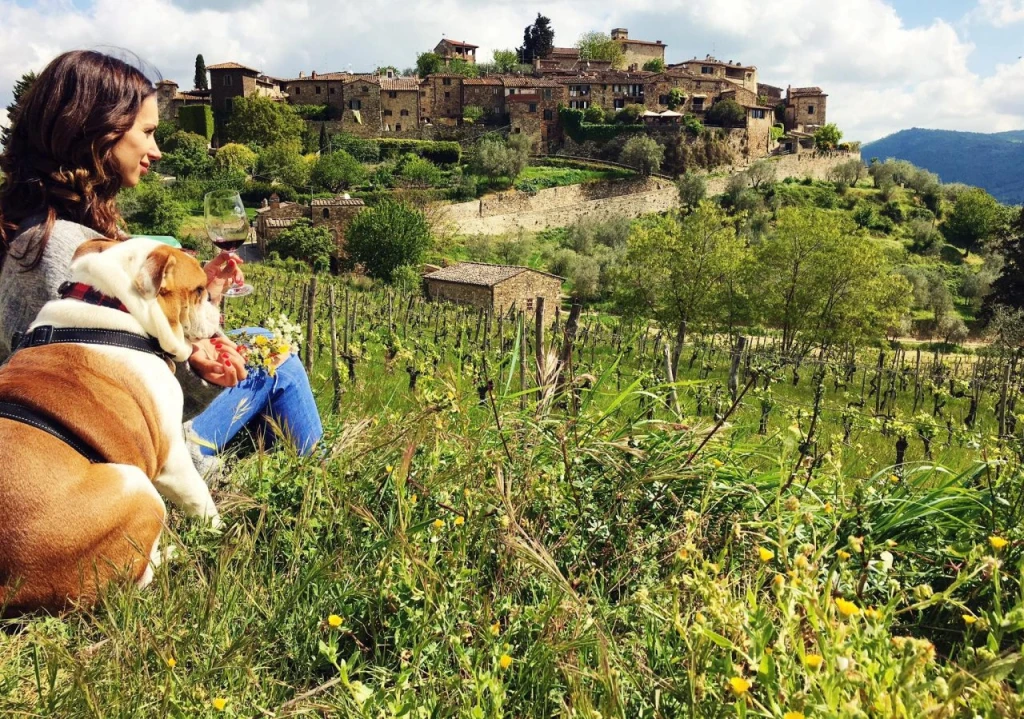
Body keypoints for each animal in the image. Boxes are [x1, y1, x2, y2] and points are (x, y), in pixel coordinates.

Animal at [0, 240, 223, 614]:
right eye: (199, 290)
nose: (217, 308)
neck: (113, 303)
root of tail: (10, 590)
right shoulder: (172, 457)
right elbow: (200, 498)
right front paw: (220, 530)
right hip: (137, 488)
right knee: (136, 579)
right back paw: (172, 555)